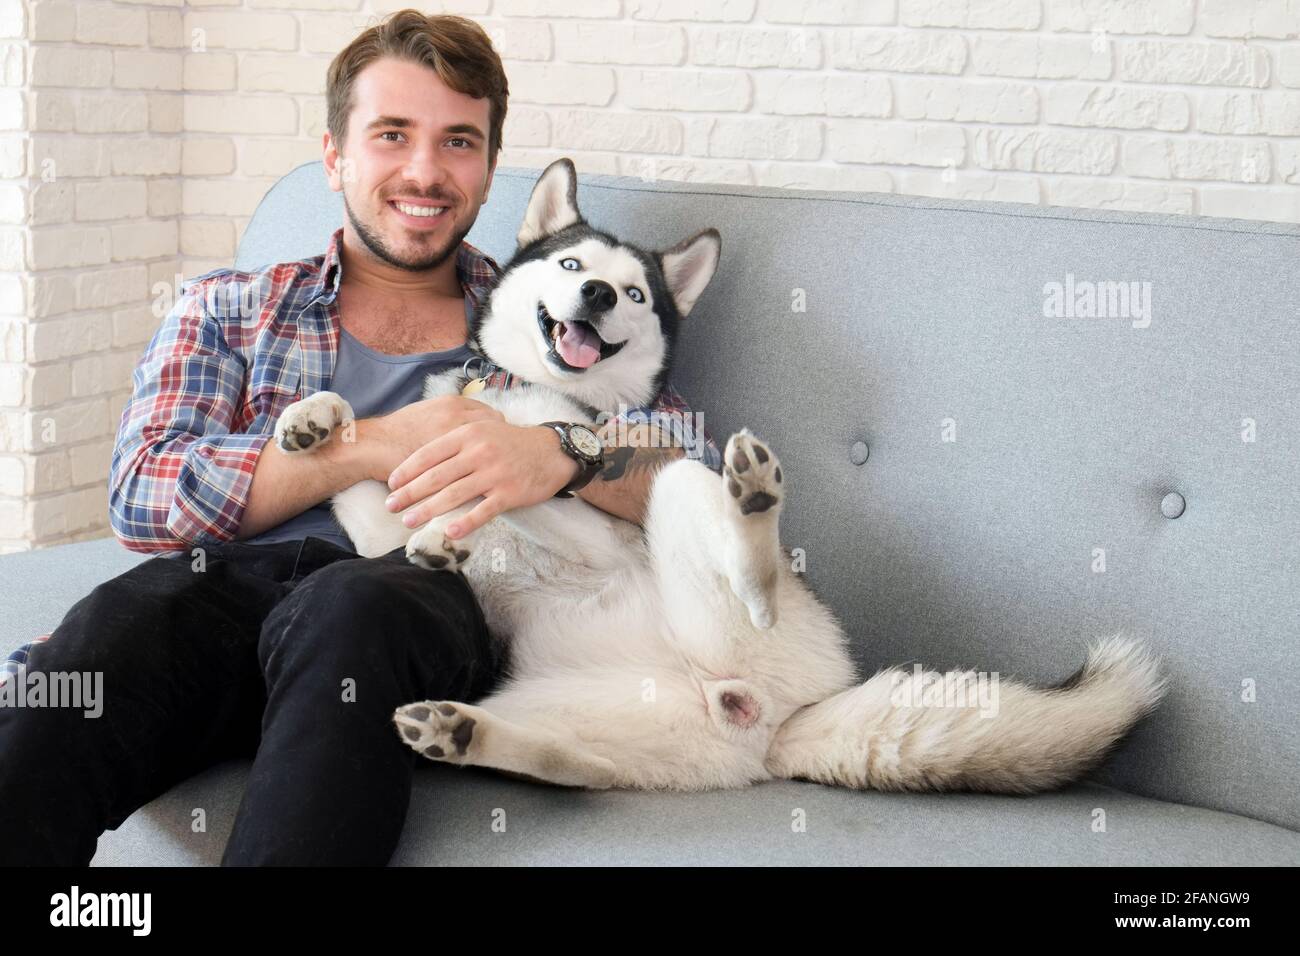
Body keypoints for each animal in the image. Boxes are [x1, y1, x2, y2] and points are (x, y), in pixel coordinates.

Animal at [274, 158, 1170, 790]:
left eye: (635, 292)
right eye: (569, 266)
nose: (598, 294)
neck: (538, 391)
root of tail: (776, 719)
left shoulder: (586, 521)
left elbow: (520, 479)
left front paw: (464, 508)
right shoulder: (379, 520)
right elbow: (360, 481)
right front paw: (317, 421)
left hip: (686, 500)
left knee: (739, 554)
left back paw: (754, 518)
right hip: (588, 716)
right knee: (576, 765)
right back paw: (467, 733)